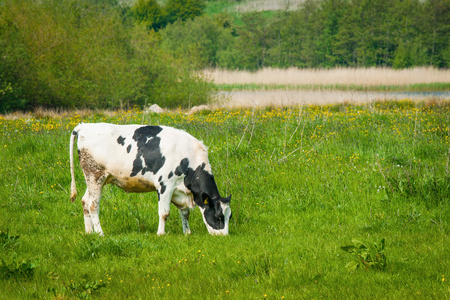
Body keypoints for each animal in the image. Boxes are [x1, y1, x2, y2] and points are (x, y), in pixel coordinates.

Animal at [71, 123, 232, 236]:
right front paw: (161, 233)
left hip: (96, 179)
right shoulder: (165, 184)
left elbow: (185, 212)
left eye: (229, 216)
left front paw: (187, 232)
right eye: (218, 216)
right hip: (95, 175)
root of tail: (84, 126)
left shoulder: (179, 191)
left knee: (85, 201)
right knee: (93, 205)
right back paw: (100, 233)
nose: (224, 236)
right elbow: (164, 212)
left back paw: (89, 232)